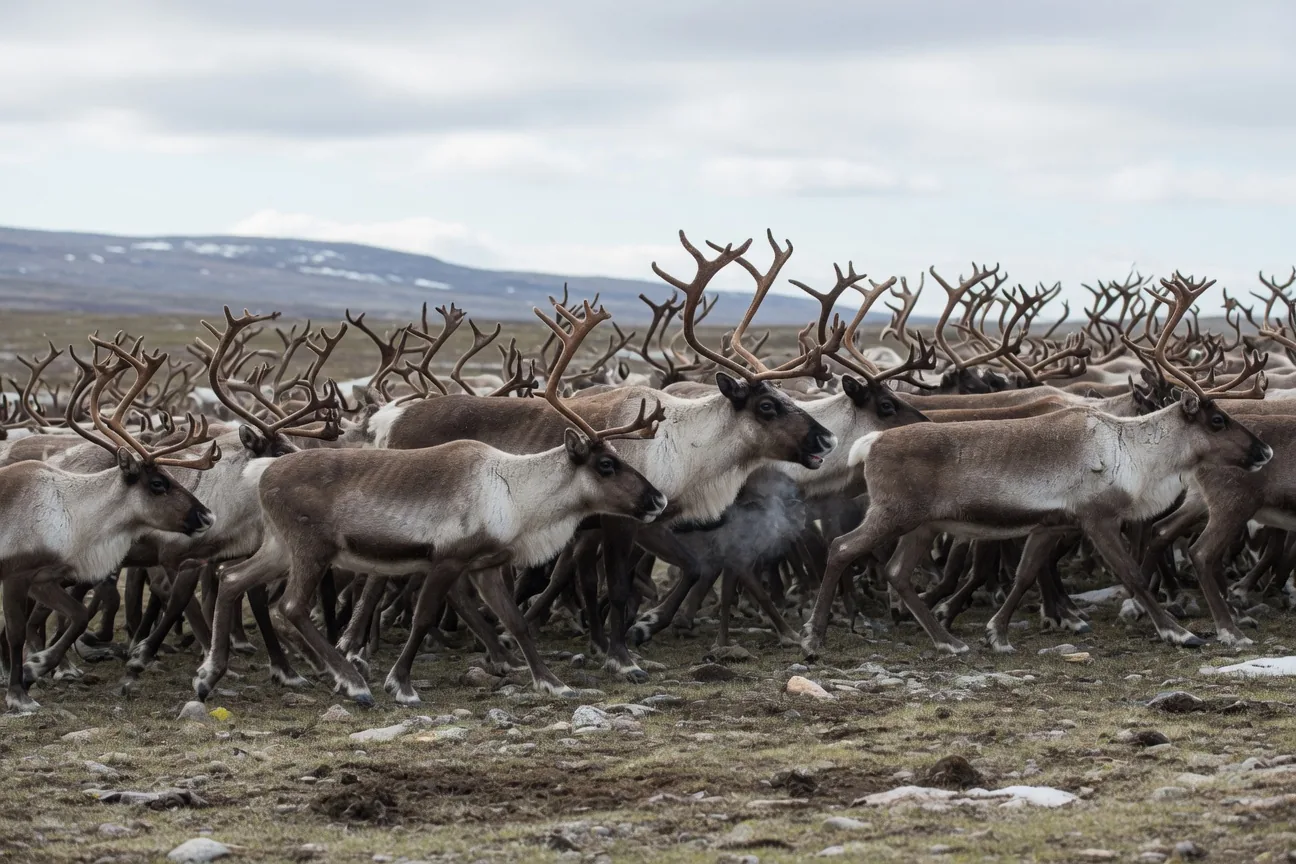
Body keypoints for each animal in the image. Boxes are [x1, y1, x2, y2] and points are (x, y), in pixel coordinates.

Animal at [194, 298, 668, 706]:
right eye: (606, 464)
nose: (658, 498)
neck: (516, 493)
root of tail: (263, 472)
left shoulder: (487, 566)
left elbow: (515, 621)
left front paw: (551, 682)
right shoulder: (446, 559)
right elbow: (423, 617)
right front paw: (400, 685)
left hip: (280, 546)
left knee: (232, 578)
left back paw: (209, 674)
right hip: (312, 548)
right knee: (289, 607)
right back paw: (351, 682)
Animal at [800, 272, 1273, 659]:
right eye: (1217, 420)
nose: (1265, 451)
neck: (1135, 452)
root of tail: (872, 441)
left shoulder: (1052, 523)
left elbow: (1026, 574)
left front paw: (998, 634)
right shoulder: (1097, 518)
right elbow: (1132, 575)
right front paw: (1179, 633)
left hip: (924, 523)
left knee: (898, 572)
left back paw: (948, 640)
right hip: (894, 513)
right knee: (842, 548)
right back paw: (814, 638)